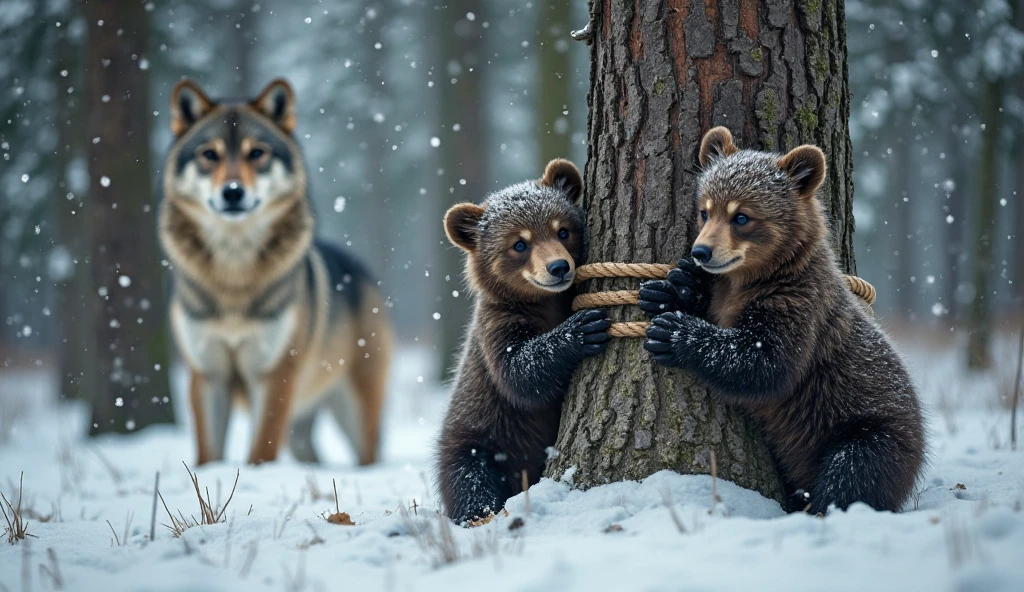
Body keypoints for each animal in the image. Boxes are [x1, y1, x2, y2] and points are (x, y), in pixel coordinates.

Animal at [158, 78, 391, 465]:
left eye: (257, 153)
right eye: (210, 155)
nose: (233, 192)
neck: (234, 275)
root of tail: (362, 269)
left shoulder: (275, 375)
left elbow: (261, 451)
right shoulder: (207, 375)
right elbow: (208, 455)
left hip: (352, 408)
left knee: (368, 454)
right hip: (300, 427)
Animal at [435, 159, 610, 524]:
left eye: (562, 230)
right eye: (519, 244)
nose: (558, 267)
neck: (546, 304)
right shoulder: (497, 325)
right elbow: (518, 372)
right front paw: (582, 329)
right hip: (475, 441)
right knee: (470, 481)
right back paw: (481, 512)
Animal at [639, 127, 926, 514]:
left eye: (741, 217)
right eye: (705, 211)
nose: (701, 252)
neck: (759, 277)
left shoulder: (798, 304)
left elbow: (766, 361)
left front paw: (673, 332)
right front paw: (672, 289)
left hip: (871, 431)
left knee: (852, 473)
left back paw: (822, 507)